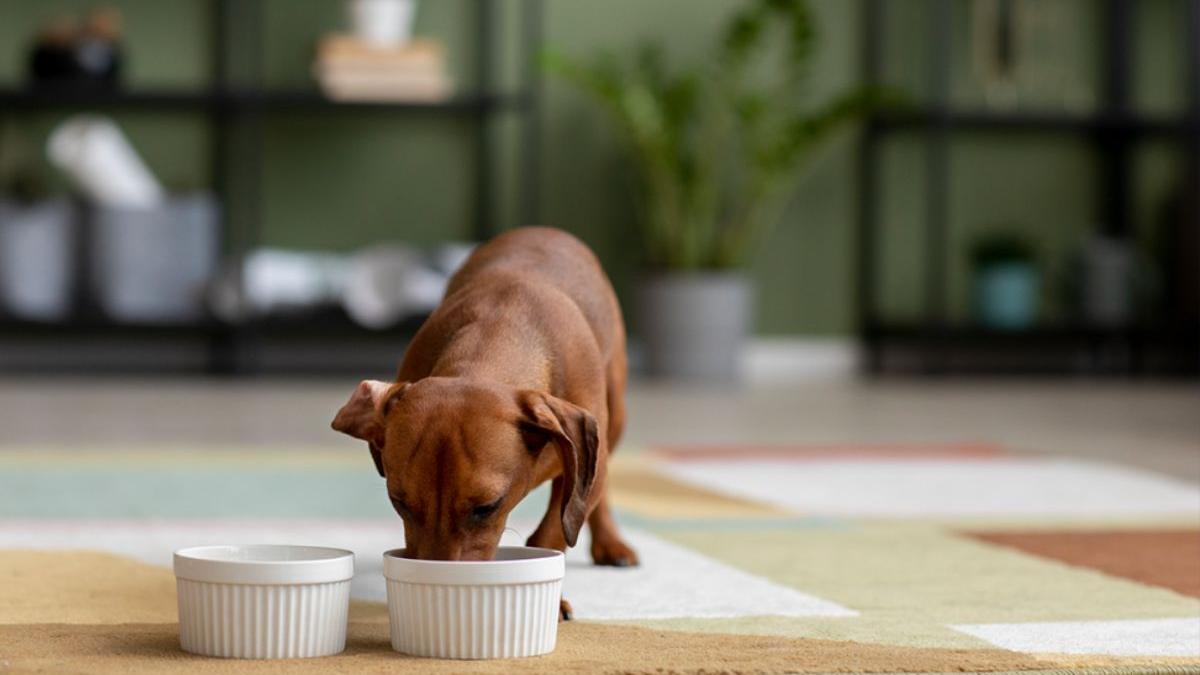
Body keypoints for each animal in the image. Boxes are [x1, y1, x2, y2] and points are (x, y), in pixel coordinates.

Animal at [331, 224, 638, 614]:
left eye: (487, 508)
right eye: (399, 502)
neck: (501, 328)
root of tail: (545, 229)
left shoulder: (582, 466)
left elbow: (554, 530)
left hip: (615, 419)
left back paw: (610, 541)